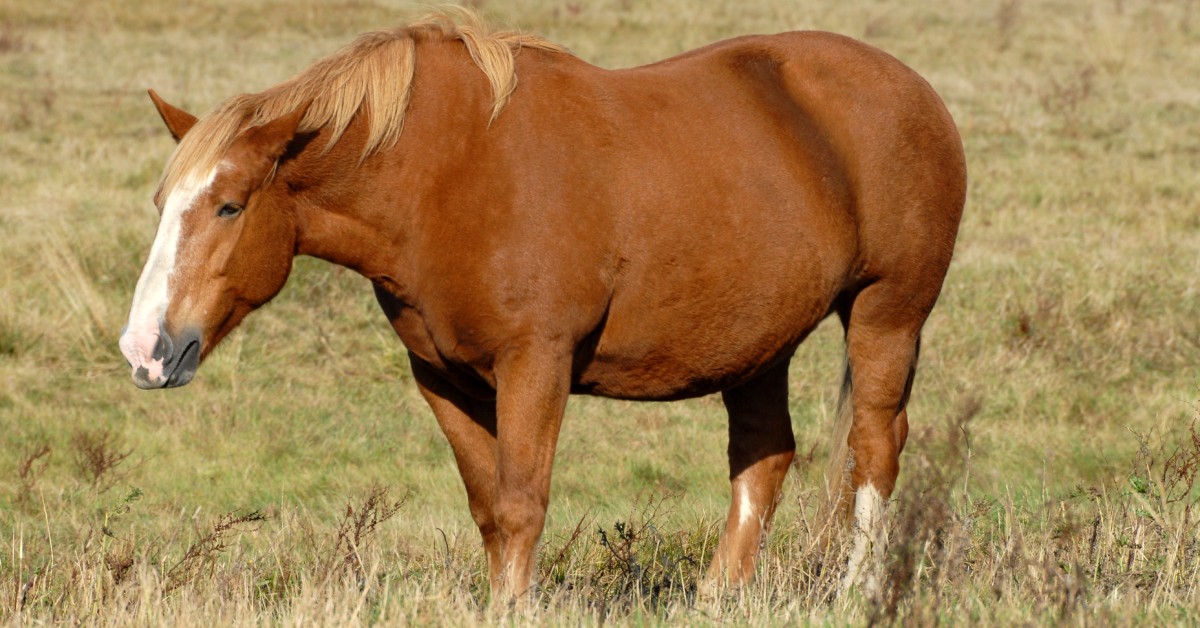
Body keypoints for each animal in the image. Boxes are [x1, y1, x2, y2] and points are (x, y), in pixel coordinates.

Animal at [118, 11, 965, 600]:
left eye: (229, 206)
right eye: (162, 203)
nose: (144, 349)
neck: (446, 177)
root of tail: (916, 90)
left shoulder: (536, 363)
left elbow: (524, 504)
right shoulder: (444, 379)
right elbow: (491, 510)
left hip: (888, 313)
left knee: (875, 447)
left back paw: (857, 591)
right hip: (760, 343)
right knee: (766, 457)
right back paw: (719, 597)